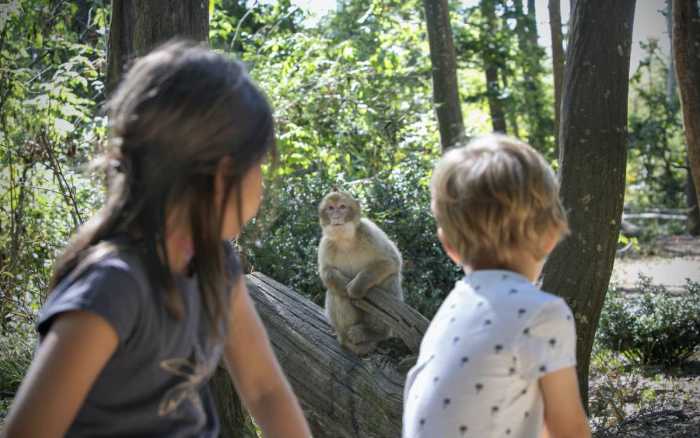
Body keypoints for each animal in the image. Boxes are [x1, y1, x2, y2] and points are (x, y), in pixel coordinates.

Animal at [318, 190, 404, 354]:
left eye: (342, 207)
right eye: (331, 208)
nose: (336, 216)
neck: (345, 240)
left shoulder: (369, 231)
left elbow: (391, 261)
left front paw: (355, 287)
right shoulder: (325, 244)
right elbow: (327, 274)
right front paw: (343, 286)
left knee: (390, 279)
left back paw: (373, 333)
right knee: (335, 293)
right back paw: (346, 339)